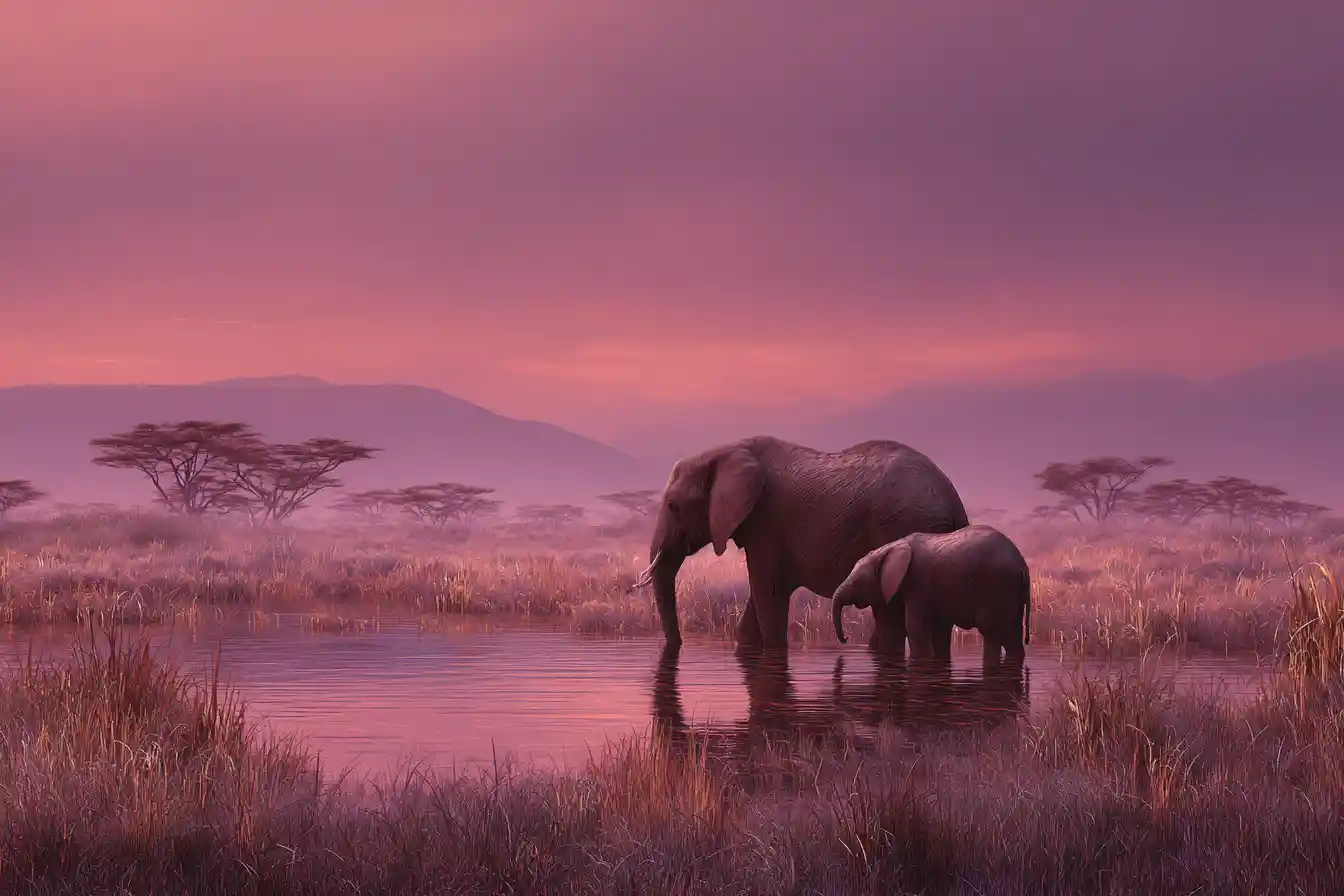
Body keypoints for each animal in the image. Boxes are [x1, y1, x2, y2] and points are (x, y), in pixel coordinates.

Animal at [632, 436, 970, 651]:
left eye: (673, 506)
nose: (677, 646)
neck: (728, 450)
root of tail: (955, 504)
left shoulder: (767, 523)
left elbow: (768, 594)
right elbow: (760, 600)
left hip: (901, 525)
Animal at [831, 524, 1031, 668]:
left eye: (858, 582)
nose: (846, 639)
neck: (889, 548)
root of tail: (1023, 565)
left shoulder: (917, 583)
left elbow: (915, 625)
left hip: (995, 585)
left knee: (992, 632)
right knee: (1012, 635)